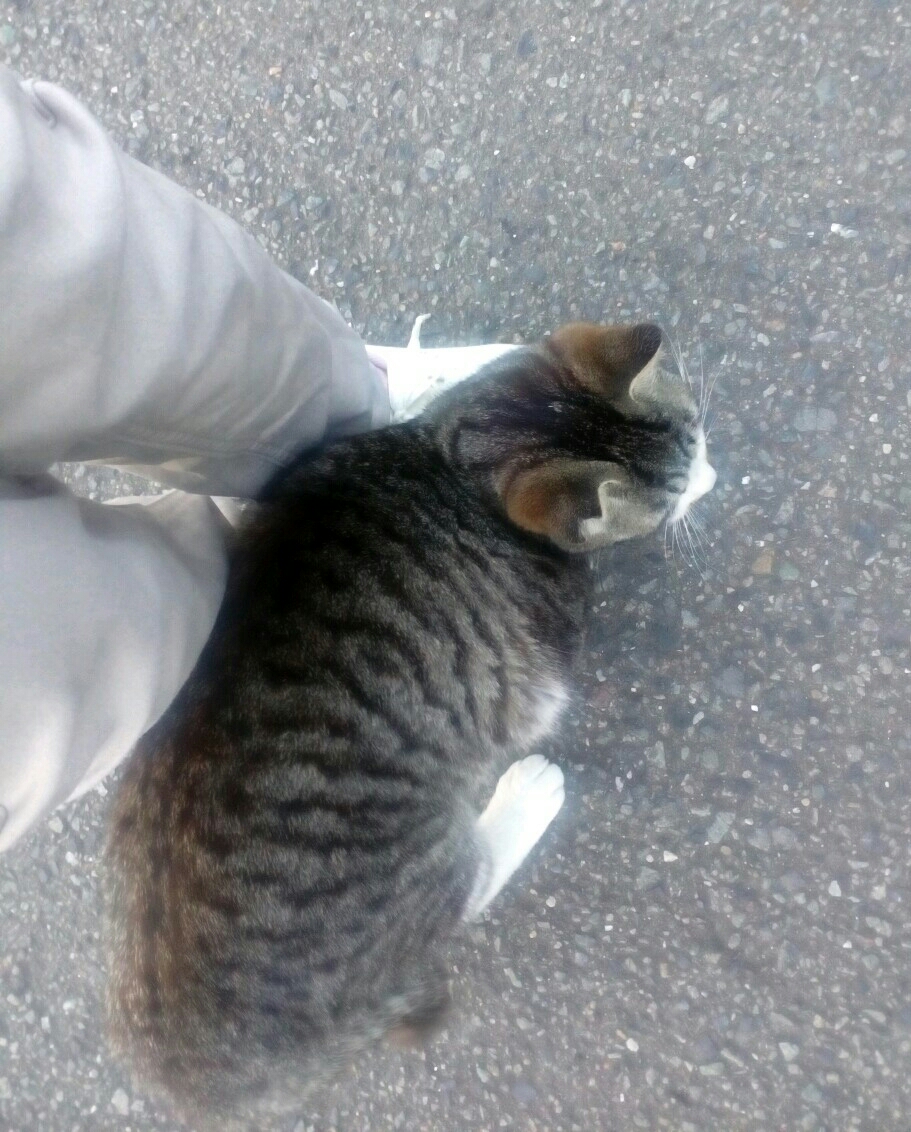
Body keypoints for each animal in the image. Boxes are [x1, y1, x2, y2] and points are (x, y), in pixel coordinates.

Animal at [104, 321, 715, 1129]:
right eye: (673, 493)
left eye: (699, 432)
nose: (714, 476)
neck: (458, 458)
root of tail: (199, 1078)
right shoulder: (539, 677)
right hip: (427, 854)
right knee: (469, 887)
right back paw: (526, 797)